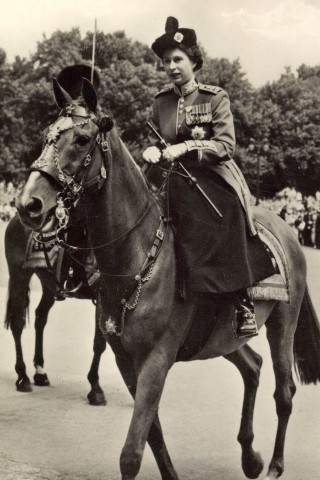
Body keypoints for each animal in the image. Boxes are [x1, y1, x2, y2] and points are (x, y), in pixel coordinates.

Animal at [4, 214, 107, 404]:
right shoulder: (103, 298)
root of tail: (15, 218)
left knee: (40, 317)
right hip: (19, 276)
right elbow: (99, 343)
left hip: (50, 284)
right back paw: (22, 377)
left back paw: (40, 372)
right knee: (17, 324)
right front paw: (95, 388)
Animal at [15, 77, 320, 478]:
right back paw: (250, 456)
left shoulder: (156, 359)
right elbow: (152, 433)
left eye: (81, 139)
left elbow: (132, 451)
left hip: (284, 325)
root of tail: (288, 229)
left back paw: (273, 465)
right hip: (221, 337)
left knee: (284, 394)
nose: (28, 204)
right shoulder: (127, 361)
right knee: (253, 368)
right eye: (46, 135)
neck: (137, 254)